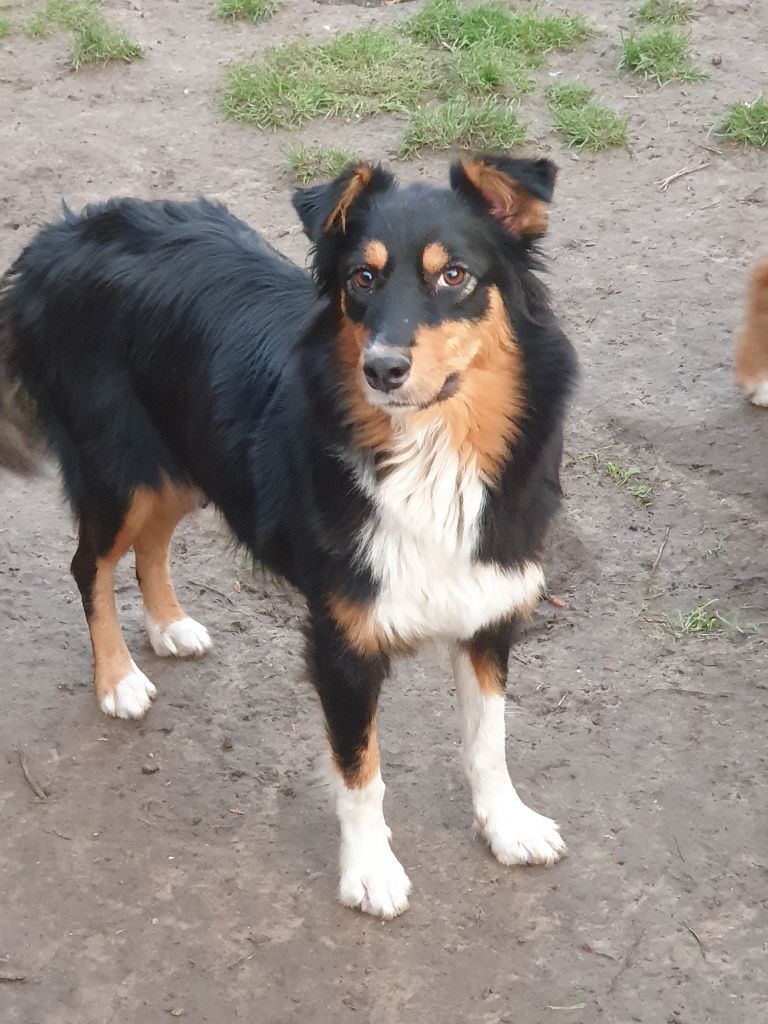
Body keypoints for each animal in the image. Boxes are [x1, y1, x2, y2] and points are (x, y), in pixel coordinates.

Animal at [0, 155, 577, 917]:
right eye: (361, 279)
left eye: (454, 274)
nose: (382, 369)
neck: (431, 451)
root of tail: (57, 238)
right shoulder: (342, 639)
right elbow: (361, 770)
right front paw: (370, 871)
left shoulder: (488, 607)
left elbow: (489, 741)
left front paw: (508, 825)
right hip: (118, 471)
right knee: (88, 564)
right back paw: (119, 677)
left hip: (184, 462)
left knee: (151, 546)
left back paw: (169, 625)